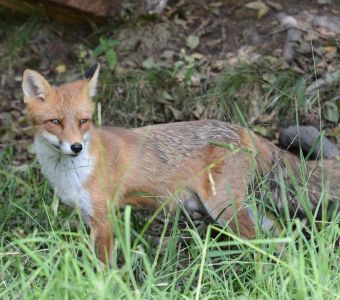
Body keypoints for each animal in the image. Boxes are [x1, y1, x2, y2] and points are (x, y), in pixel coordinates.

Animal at [22, 63, 338, 262]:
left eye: (83, 121)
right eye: (55, 122)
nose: (75, 147)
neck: (72, 173)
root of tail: (242, 129)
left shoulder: (104, 216)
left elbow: (104, 267)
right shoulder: (90, 217)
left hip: (222, 208)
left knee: (260, 240)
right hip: (234, 206)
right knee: (279, 233)